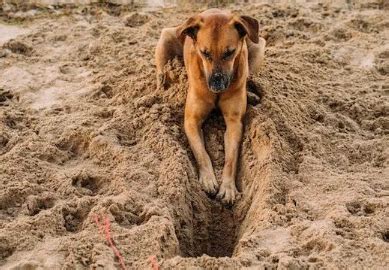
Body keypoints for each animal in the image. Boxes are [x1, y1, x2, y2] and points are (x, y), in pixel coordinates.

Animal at [155, 8, 264, 204]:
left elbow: (231, 158)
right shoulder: (191, 121)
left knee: (249, 73)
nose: (216, 84)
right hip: (166, 38)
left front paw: (228, 187)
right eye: (205, 53)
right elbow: (201, 153)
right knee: (161, 73)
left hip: (259, 45)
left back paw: (250, 93)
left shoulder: (234, 123)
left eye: (230, 53)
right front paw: (207, 179)